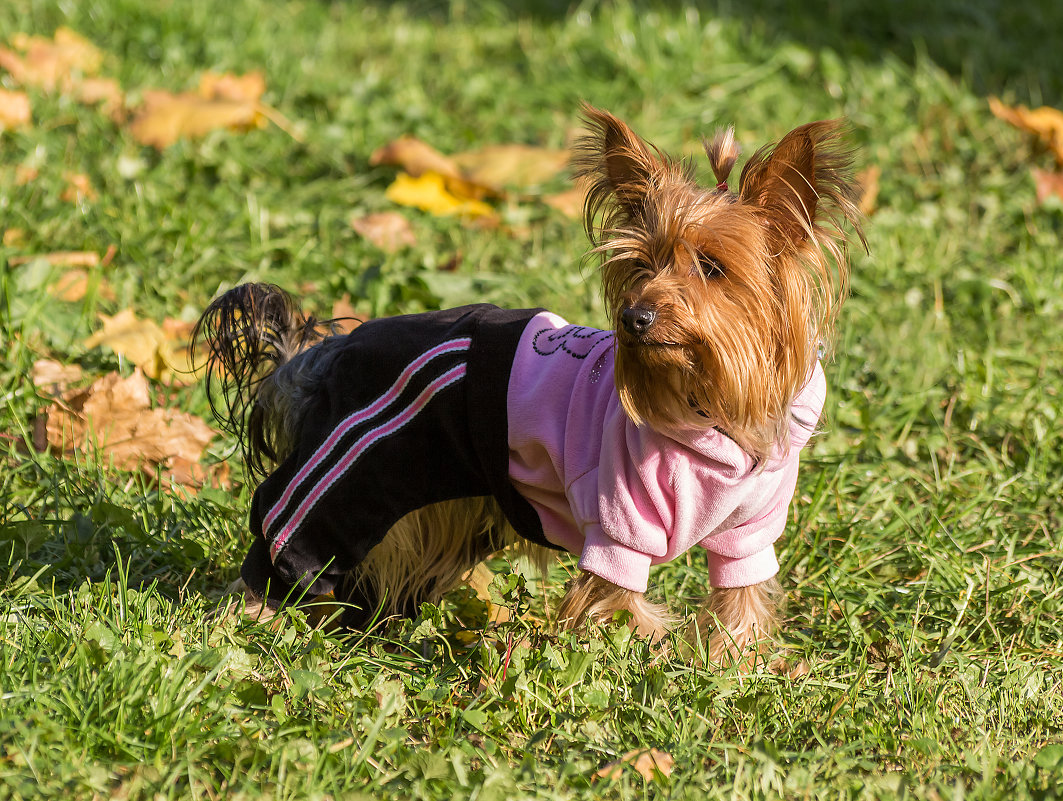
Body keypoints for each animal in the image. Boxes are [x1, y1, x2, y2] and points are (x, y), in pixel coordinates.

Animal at [195, 107, 863, 667]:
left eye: (713, 267)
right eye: (638, 265)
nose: (635, 317)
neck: (711, 407)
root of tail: (317, 356)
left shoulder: (749, 530)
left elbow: (741, 594)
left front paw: (741, 662)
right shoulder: (619, 522)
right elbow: (614, 598)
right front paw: (643, 650)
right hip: (353, 473)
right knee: (287, 536)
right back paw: (250, 622)